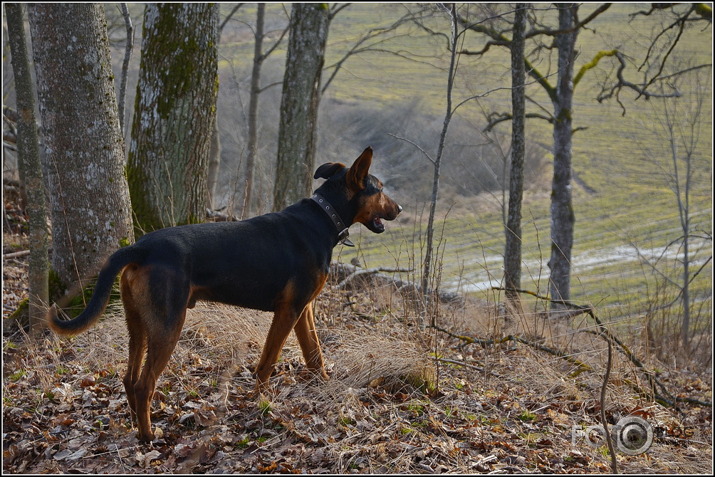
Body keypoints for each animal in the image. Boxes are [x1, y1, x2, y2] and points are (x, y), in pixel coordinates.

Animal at [46, 147, 400, 440]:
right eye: (381, 189)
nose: (399, 208)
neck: (325, 217)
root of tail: (140, 248)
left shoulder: (304, 309)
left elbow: (315, 355)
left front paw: (324, 386)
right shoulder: (289, 309)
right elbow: (268, 361)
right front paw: (262, 403)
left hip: (138, 323)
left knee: (129, 379)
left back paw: (137, 425)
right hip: (168, 324)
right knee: (145, 383)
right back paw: (148, 436)